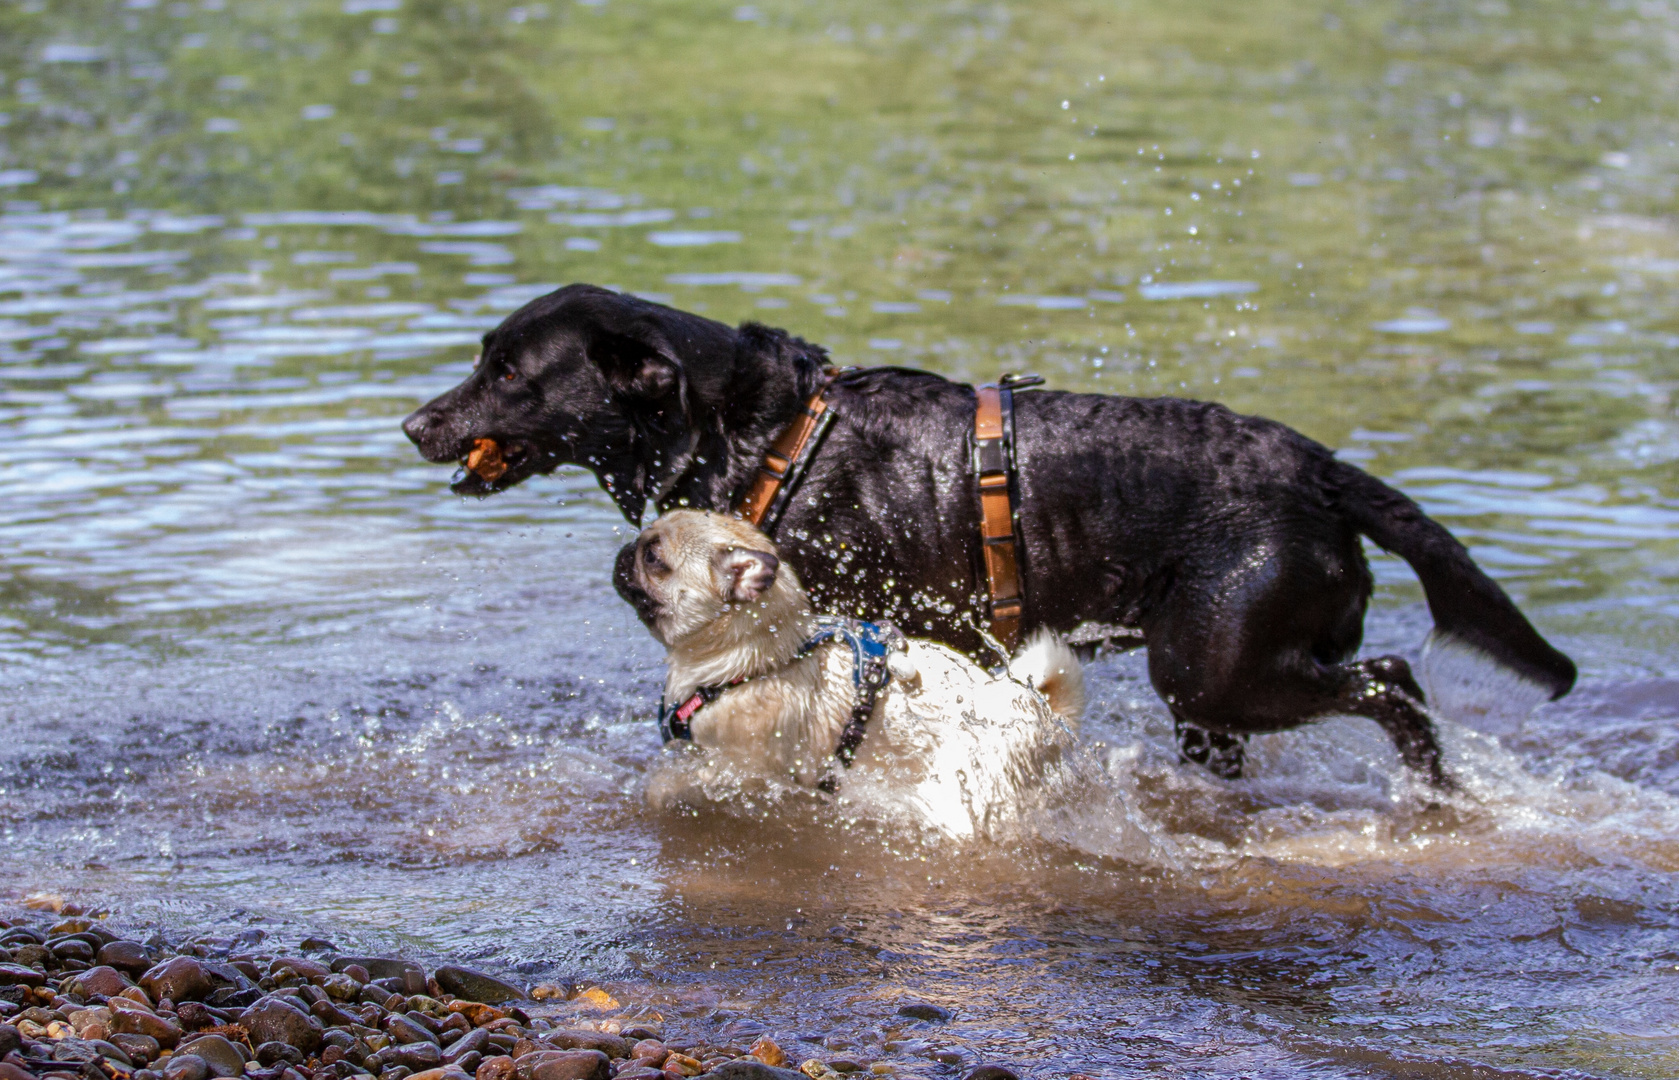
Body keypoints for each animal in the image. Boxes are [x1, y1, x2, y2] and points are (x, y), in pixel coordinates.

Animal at [402, 283, 1571, 782]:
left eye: (507, 371)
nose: (416, 423)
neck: (773, 432)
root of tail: (1315, 465)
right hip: (1213, 693)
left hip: (1216, 665)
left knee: (1393, 682)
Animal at [617, 510, 1087, 839]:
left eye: (653, 557)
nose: (626, 549)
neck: (758, 661)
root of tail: (1040, 711)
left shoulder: (736, 768)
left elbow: (673, 781)